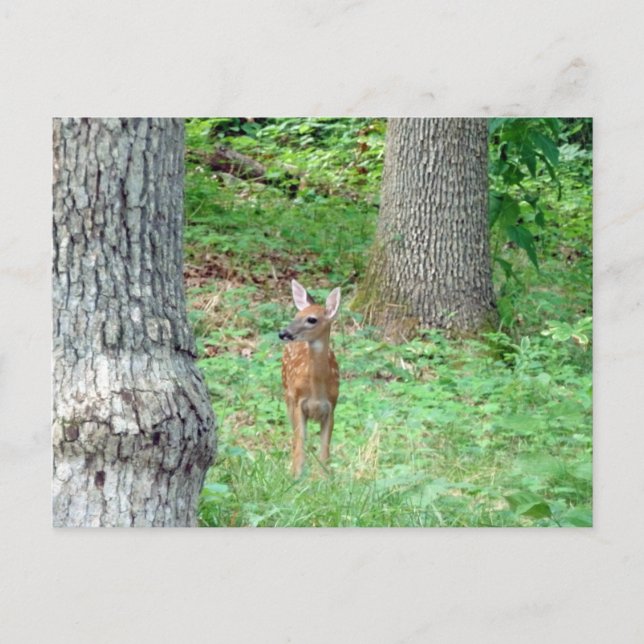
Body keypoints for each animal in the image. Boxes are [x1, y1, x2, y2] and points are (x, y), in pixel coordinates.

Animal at [278, 280, 341, 477]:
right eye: (296, 315)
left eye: (312, 319)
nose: (283, 333)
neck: (317, 392)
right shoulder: (298, 403)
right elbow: (299, 444)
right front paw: (296, 476)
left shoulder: (331, 407)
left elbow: (325, 450)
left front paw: (324, 477)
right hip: (287, 397)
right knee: (296, 439)